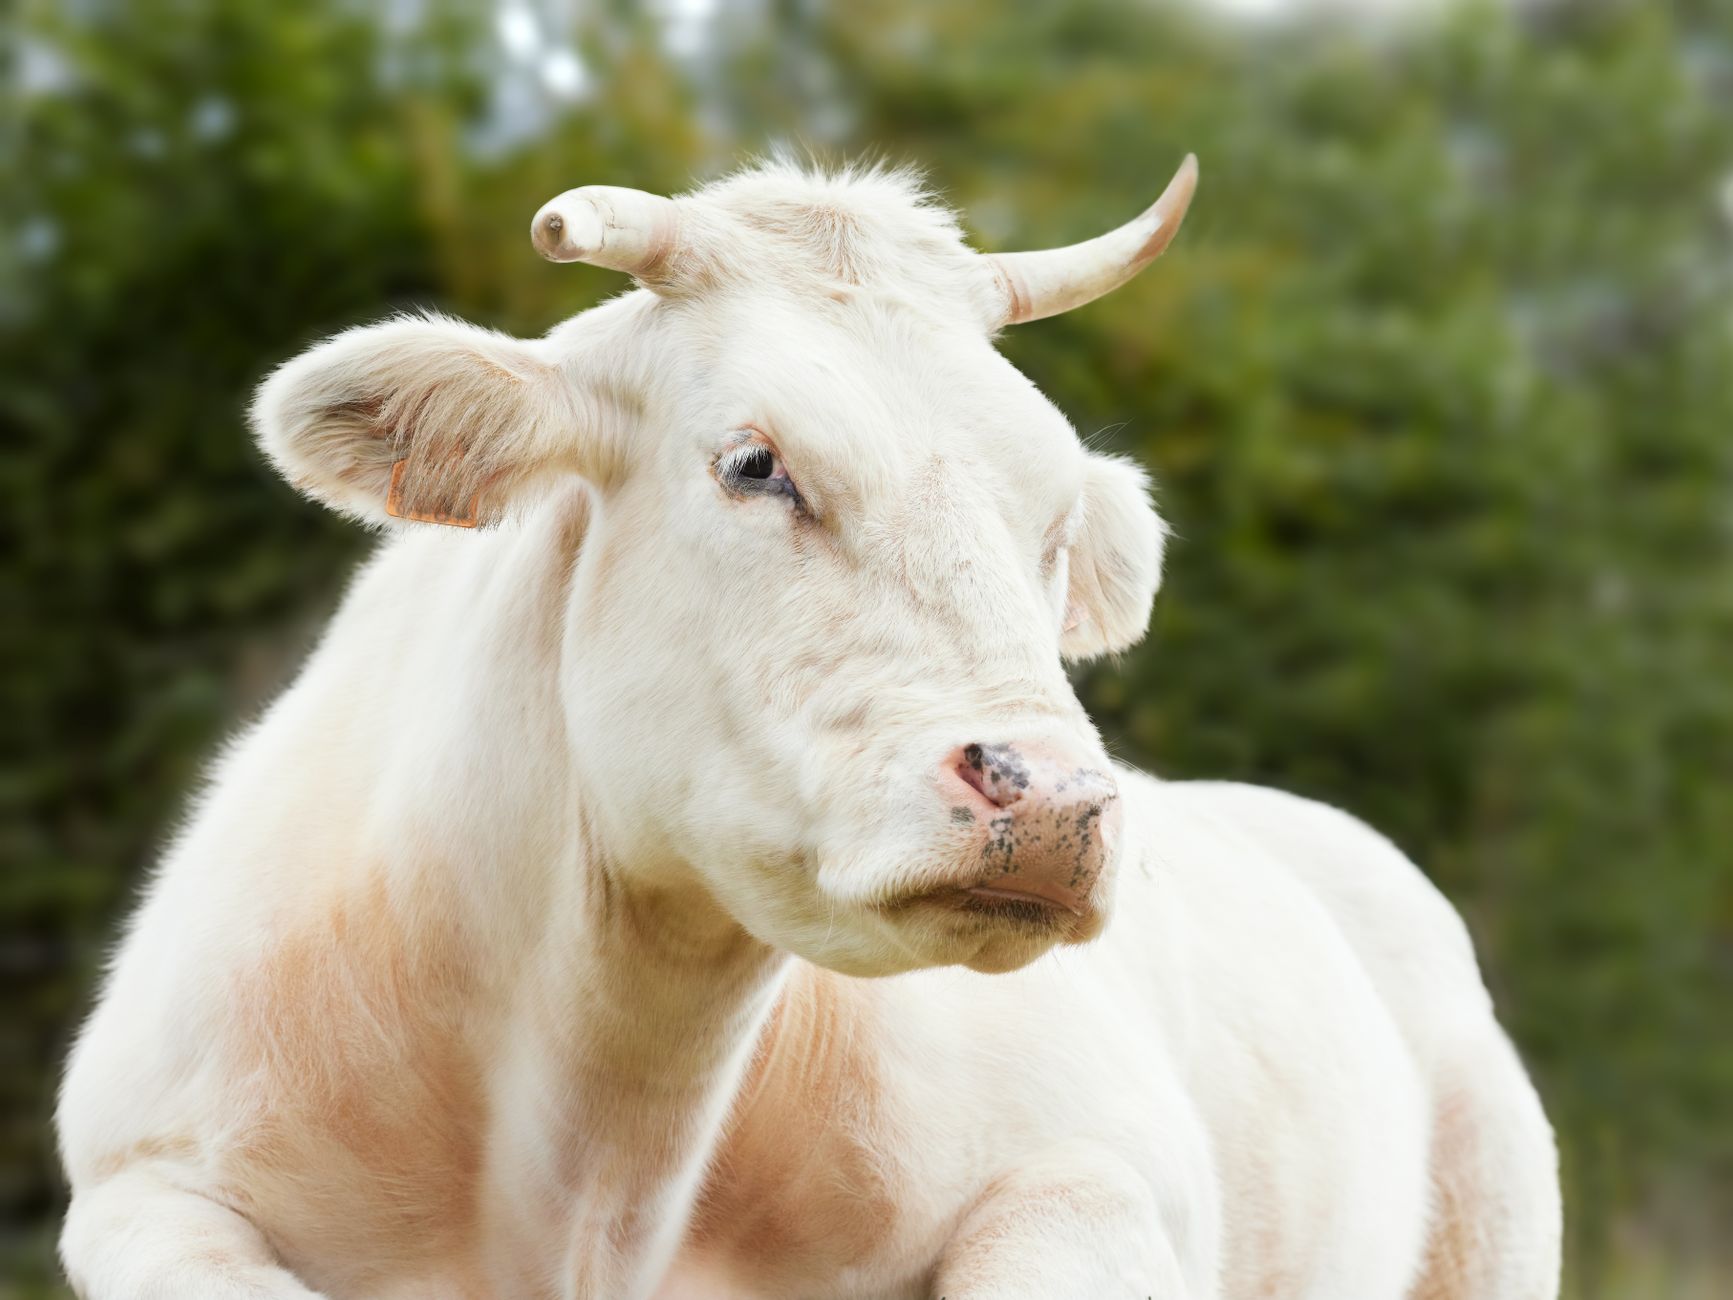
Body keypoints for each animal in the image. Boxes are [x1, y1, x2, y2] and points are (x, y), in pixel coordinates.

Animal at [56, 156, 1562, 1299]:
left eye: (1055, 522)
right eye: (753, 463)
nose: (1053, 800)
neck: (595, 1159)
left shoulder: (1094, 1173)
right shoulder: (144, 1185)